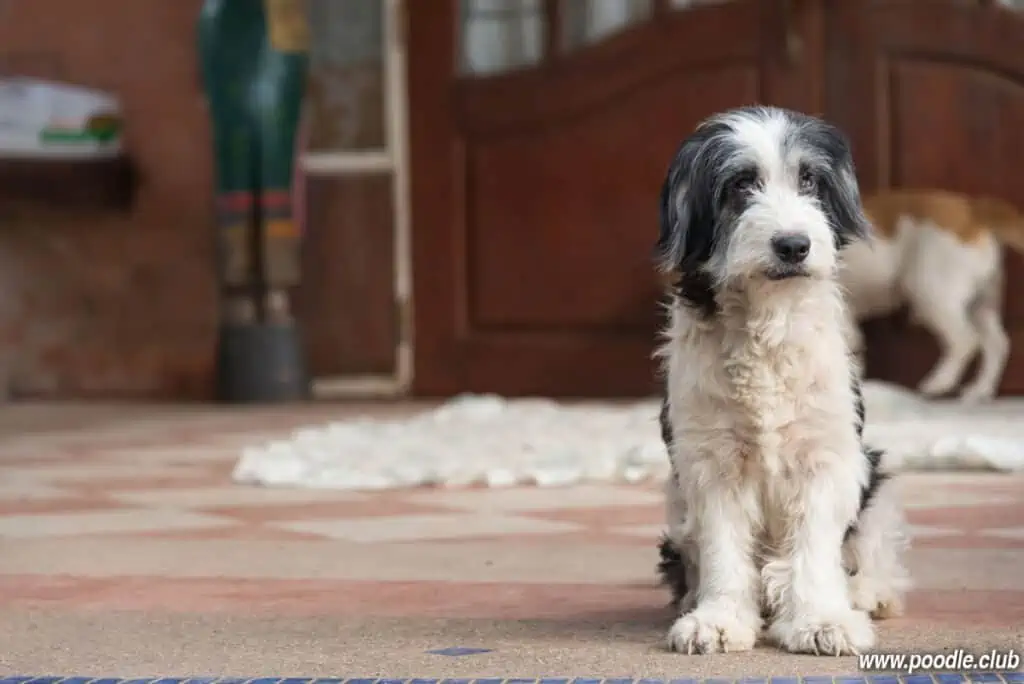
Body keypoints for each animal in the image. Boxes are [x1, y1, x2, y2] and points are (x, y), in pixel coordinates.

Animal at [651, 107, 909, 655]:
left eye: (809, 179)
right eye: (740, 184)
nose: (793, 245)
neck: (768, 323)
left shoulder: (826, 456)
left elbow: (814, 545)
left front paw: (822, 620)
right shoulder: (712, 461)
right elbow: (724, 546)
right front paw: (718, 620)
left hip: (874, 481)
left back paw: (868, 593)